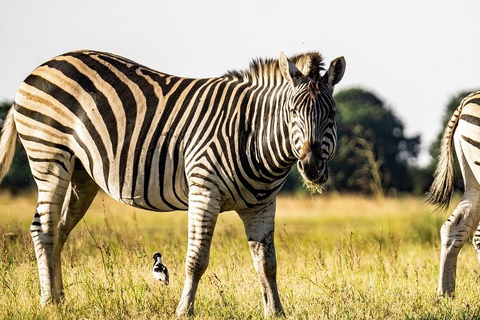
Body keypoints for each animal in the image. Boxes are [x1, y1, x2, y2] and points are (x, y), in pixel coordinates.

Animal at [0, 49, 344, 316]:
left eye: (332, 114)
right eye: (293, 112)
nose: (312, 167)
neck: (252, 134)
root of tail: (42, 66)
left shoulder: (261, 205)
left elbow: (267, 263)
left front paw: (276, 311)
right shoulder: (204, 191)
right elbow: (197, 259)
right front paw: (184, 310)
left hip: (81, 175)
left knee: (59, 230)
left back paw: (60, 300)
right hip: (49, 157)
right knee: (42, 229)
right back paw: (47, 302)